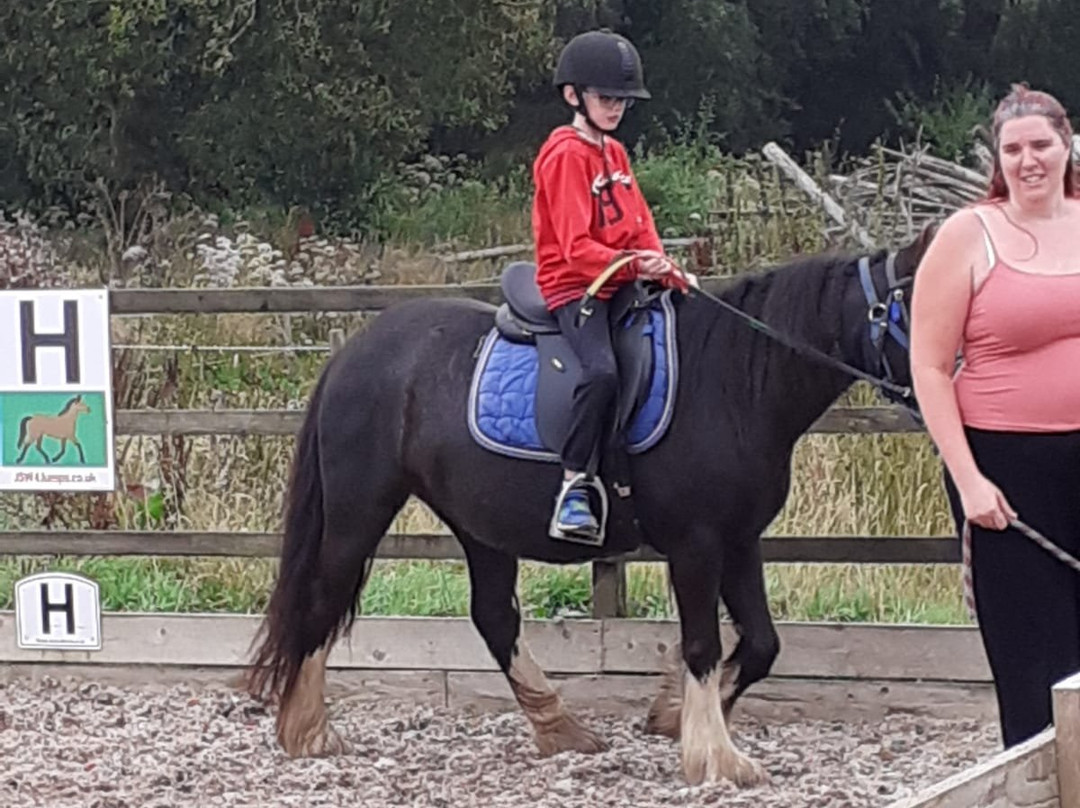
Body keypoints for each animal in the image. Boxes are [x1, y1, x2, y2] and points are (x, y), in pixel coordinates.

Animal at [246, 229, 931, 786]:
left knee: (493, 618)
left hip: (479, 523)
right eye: (920, 303)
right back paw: (306, 732)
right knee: (323, 598)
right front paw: (714, 758)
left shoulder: (740, 540)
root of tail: (353, 351)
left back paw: (561, 729)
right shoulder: (696, 544)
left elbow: (761, 644)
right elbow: (703, 645)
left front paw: (672, 716)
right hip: (360, 508)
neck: (735, 382)